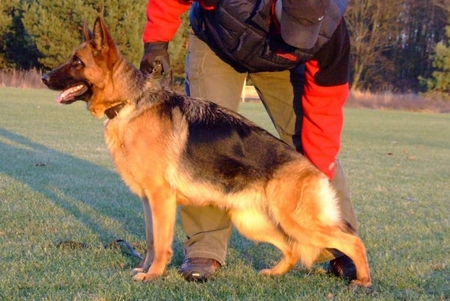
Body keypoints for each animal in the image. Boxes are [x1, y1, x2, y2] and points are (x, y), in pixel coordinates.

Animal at [41, 17, 372, 286]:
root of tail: (311, 169)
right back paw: (274, 273)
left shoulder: (161, 199)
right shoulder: (148, 201)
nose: (44, 77)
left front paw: (154, 274)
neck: (129, 104)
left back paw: (362, 280)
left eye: (77, 62)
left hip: (297, 221)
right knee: (291, 248)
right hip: (253, 221)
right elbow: (150, 241)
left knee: (353, 241)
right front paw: (144, 269)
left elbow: (161, 243)